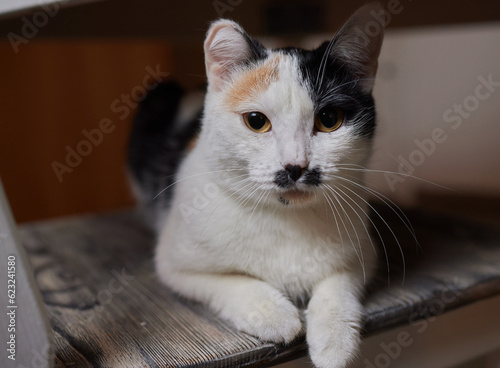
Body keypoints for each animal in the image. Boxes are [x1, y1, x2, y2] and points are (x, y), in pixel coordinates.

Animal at [129, 3, 386, 368]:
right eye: (256, 121)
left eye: (329, 119)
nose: (295, 166)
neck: (287, 220)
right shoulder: (173, 263)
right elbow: (232, 282)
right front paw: (273, 314)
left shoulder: (363, 252)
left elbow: (340, 280)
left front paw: (335, 339)